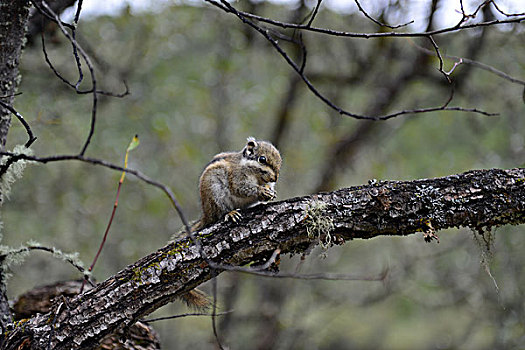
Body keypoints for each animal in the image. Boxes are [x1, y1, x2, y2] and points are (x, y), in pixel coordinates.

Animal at [177, 137, 280, 308]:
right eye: (262, 159)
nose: (275, 178)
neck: (255, 175)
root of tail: (206, 214)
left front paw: (270, 191)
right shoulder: (237, 177)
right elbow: (242, 188)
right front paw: (261, 191)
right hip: (215, 192)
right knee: (220, 213)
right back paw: (230, 213)